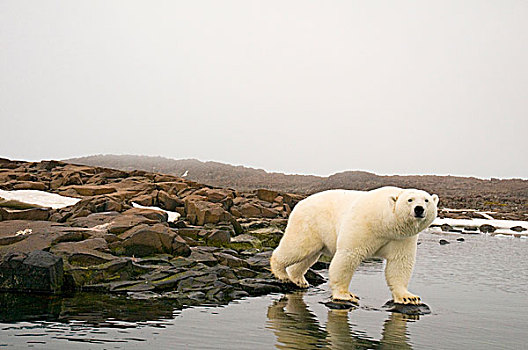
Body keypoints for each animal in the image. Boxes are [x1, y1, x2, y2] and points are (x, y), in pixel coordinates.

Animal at [270, 187, 440, 304]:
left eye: (426, 200)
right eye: (410, 200)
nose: (419, 209)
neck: (385, 223)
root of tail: (300, 203)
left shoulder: (402, 238)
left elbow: (400, 263)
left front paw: (408, 298)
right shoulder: (363, 225)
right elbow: (349, 255)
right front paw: (346, 295)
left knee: (309, 256)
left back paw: (299, 280)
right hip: (309, 223)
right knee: (298, 247)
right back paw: (281, 274)